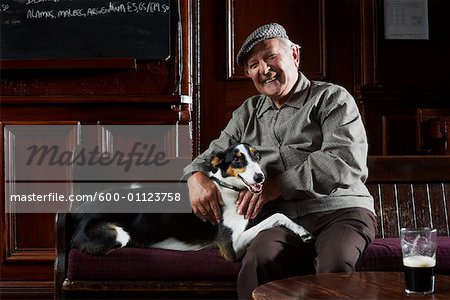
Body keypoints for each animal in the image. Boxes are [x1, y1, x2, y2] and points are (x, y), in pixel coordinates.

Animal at [71, 143, 312, 260]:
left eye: (256, 156)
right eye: (237, 160)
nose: (260, 177)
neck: (227, 189)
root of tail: (79, 212)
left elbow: (278, 215)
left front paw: (303, 232)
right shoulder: (231, 248)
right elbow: (271, 218)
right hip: (119, 234)